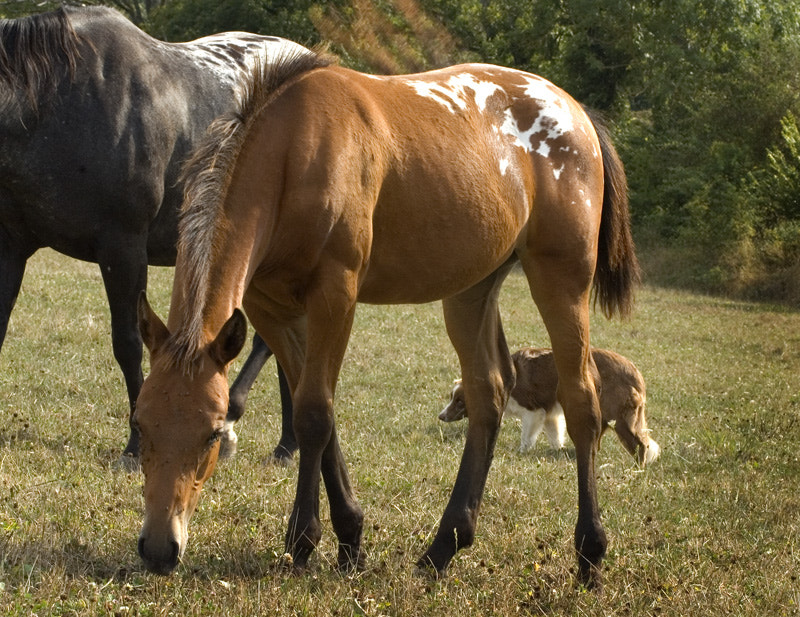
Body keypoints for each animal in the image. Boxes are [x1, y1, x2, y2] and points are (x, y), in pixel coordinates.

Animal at [0, 7, 304, 464]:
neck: (57, 105)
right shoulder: (11, 246)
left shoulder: (122, 248)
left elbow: (127, 343)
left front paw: (134, 446)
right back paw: (287, 444)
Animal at [136, 49, 636, 588]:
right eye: (139, 424)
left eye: (212, 432)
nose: (159, 549)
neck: (294, 150)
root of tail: (576, 112)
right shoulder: (272, 311)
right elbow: (321, 412)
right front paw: (350, 540)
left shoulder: (336, 295)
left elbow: (313, 413)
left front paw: (304, 540)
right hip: (471, 291)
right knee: (490, 391)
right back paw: (444, 546)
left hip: (561, 280)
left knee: (582, 399)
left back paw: (589, 553)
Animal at [440, 346, 660, 462]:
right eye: (451, 397)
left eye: (459, 402)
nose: (441, 416)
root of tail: (635, 372)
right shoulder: (550, 415)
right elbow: (555, 436)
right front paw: (558, 451)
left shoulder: (533, 411)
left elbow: (526, 437)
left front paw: (522, 453)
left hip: (619, 419)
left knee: (641, 444)